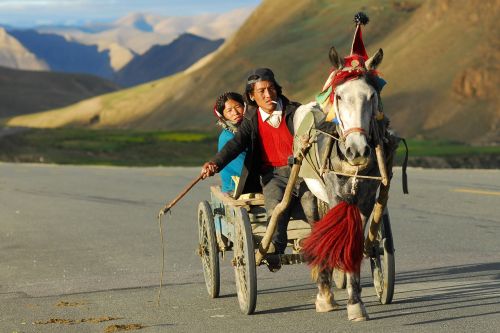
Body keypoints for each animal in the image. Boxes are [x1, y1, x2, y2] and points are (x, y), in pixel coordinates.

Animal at [292, 45, 392, 320]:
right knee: (317, 231)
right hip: (308, 195)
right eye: (338, 96)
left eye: (372, 96)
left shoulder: (365, 201)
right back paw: (324, 294)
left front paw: (356, 303)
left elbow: (353, 243)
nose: (357, 151)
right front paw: (343, 300)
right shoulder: (337, 197)